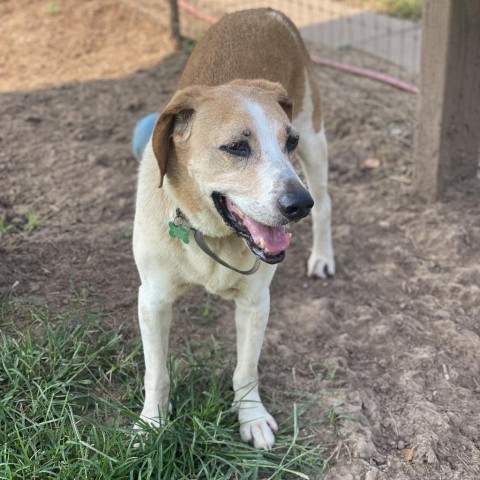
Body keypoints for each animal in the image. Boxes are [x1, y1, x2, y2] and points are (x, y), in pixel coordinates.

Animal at [131, 8, 334, 450]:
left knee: (327, 203)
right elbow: (156, 374)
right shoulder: (152, 300)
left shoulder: (256, 302)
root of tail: (263, 11)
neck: (212, 235)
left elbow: (246, 370)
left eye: (288, 142)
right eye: (237, 147)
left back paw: (322, 256)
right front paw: (152, 424)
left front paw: (251, 418)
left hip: (315, 140)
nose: (298, 205)